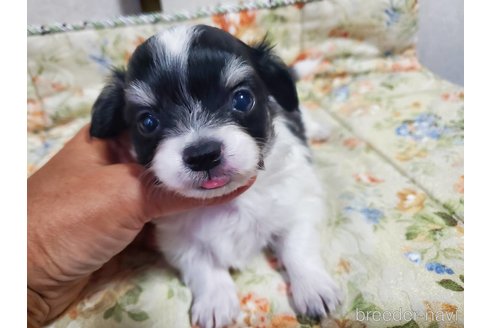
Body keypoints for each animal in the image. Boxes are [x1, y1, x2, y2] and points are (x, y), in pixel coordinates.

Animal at [90, 23, 340, 328]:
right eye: (147, 122)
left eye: (242, 99)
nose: (203, 155)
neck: (226, 201)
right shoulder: (176, 236)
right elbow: (201, 264)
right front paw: (215, 301)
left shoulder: (298, 203)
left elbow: (298, 246)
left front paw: (313, 288)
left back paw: (318, 129)